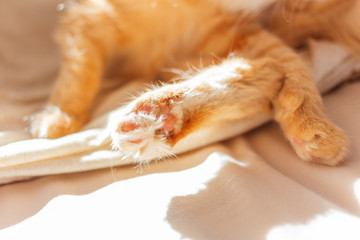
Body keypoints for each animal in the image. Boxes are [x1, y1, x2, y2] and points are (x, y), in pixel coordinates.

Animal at [31, 0, 360, 165]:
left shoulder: (243, 36)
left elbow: (291, 69)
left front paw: (312, 126)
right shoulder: (89, 20)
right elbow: (78, 74)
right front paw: (59, 118)